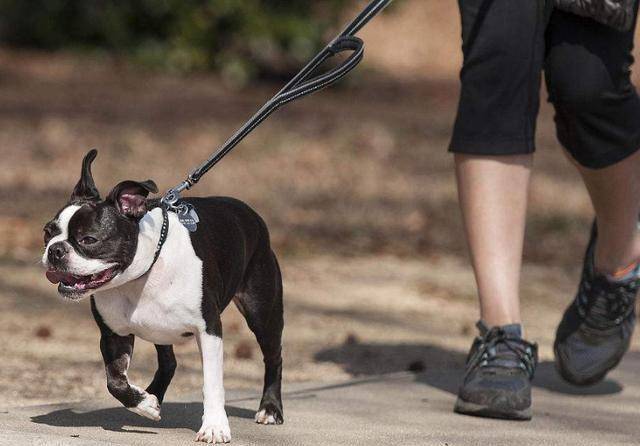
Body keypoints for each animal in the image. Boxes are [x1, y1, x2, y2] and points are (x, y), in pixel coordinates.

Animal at [43, 150, 284, 442]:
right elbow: (115, 381)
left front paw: (215, 426)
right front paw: (143, 403)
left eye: (89, 239)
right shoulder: (114, 335)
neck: (141, 275)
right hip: (160, 329)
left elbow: (212, 382)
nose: (55, 250)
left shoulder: (209, 330)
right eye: (47, 232)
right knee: (169, 361)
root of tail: (250, 213)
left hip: (262, 312)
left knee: (273, 356)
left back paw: (270, 409)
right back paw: (152, 396)